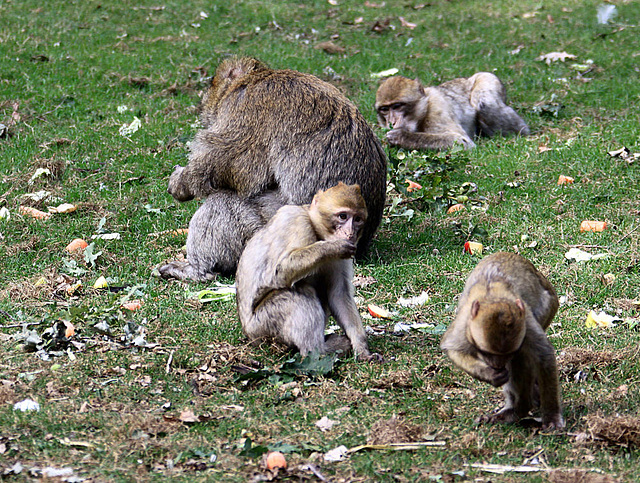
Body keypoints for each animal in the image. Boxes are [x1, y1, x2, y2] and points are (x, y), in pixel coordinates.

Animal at [161, 57, 390, 282]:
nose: (203, 108)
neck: (257, 78)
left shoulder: (247, 108)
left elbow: (229, 165)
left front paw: (180, 182)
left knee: (223, 204)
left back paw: (197, 270)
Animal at [238, 183, 382, 362]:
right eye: (343, 216)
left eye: (357, 219)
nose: (350, 233)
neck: (316, 229)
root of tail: (248, 333)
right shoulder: (296, 219)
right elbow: (279, 271)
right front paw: (331, 247)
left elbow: (338, 294)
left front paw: (362, 349)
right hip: (262, 327)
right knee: (300, 292)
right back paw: (318, 351)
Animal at [376, 72, 528, 149]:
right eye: (384, 109)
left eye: (397, 106)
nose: (392, 122)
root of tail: (469, 78)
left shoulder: (436, 110)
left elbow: (463, 142)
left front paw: (401, 136)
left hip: (488, 78)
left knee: (485, 104)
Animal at [440, 251, 564, 430]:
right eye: (485, 352)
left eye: (507, 353)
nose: (498, 365)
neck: (493, 297)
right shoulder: (464, 323)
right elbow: (452, 348)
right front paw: (489, 374)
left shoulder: (526, 321)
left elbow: (543, 355)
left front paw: (552, 416)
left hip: (548, 307)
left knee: (521, 359)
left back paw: (519, 409)